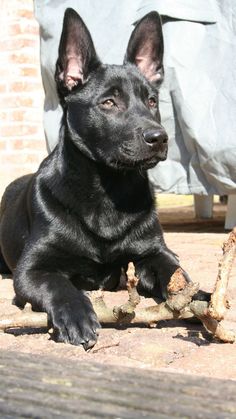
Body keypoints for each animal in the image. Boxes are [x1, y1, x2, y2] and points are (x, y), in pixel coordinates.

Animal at [0, 10, 190, 352]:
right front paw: (76, 316)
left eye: (152, 101)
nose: (159, 138)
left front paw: (202, 300)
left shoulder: (155, 252)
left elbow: (179, 277)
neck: (107, 191)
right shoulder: (32, 269)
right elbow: (59, 284)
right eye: (109, 103)